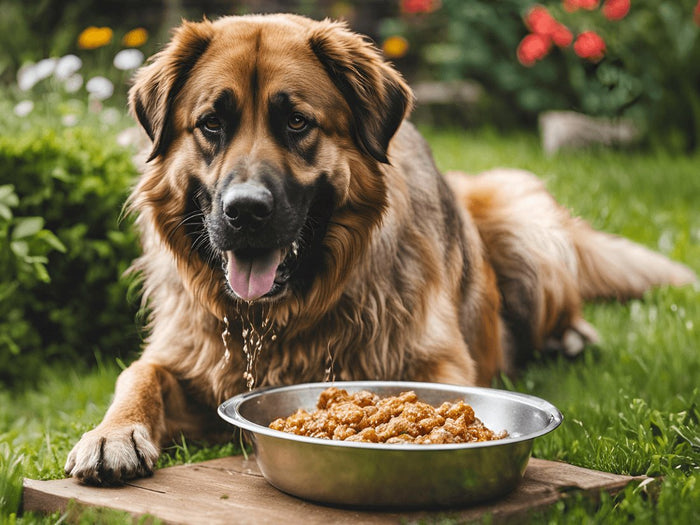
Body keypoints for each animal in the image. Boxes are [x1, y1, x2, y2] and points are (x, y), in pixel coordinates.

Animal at [64, 13, 696, 488]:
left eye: (297, 122)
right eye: (211, 124)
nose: (244, 212)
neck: (289, 317)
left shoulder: (439, 362)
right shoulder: (185, 354)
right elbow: (136, 377)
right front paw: (111, 434)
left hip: (527, 224)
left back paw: (574, 338)